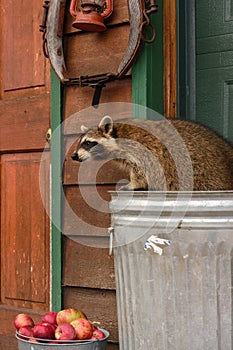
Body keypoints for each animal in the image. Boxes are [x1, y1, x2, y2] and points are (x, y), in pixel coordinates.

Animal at [71, 115, 233, 191]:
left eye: (88, 143)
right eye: (80, 142)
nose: (74, 155)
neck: (119, 136)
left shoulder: (145, 151)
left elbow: (141, 172)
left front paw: (133, 184)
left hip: (204, 174)